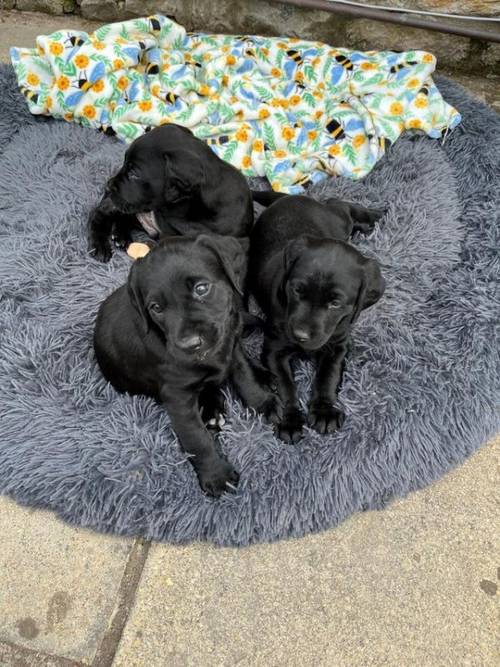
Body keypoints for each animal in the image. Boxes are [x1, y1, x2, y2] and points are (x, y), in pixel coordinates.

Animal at [94, 235, 282, 496]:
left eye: (201, 288)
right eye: (156, 308)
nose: (190, 344)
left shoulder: (231, 344)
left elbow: (244, 376)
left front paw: (264, 402)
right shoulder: (177, 396)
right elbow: (196, 438)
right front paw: (216, 475)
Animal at [248, 193, 384, 444]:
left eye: (335, 304)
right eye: (296, 290)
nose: (299, 335)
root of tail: (292, 197)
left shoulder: (339, 344)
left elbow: (327, 375)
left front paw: (324, 410)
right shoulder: (274, 349)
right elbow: (285, 384)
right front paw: (290, 420)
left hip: (338, 222)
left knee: (341, 206)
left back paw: (371, 216)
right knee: (337, 204)